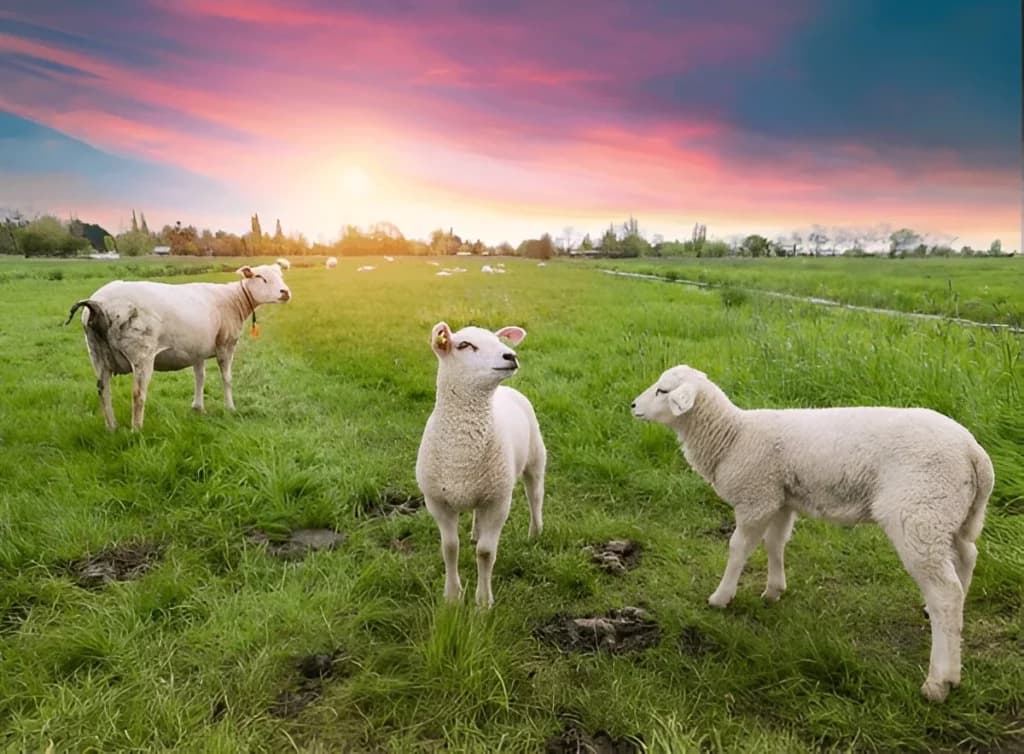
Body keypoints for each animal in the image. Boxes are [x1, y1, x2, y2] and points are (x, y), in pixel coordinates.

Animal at [65, 264, 292, 431]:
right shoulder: (226, 345)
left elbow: (200, 378)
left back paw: (111, 427)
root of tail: (98, 303)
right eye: (260, 277)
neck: (235, 300)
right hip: (141, 351)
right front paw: (230, 408)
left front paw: (198, 408)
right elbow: (226, 379)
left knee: (103, 389)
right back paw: (136, 430)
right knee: (137, 393)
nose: (285, 292)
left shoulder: (197, 350)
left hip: (96, 352)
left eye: (281, 275)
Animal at [416, 322, 547, 607]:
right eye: (464, 345)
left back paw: (535, 532)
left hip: (535, 457)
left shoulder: (498, 501)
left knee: (535, 496)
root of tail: (507, 391)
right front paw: (452, 596)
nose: (510, 355)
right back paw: (475, 532)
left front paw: (483, 602)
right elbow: (450, 548)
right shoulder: (438, 502)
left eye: (499, 341)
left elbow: (485, 553)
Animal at [631, 365, 994, 703]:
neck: (733, 436)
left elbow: (739, 548)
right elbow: (775, 543)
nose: (633, 405)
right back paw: (947, 621)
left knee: (945, 592)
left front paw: (721, 597)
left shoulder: (756, 497)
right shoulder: (779, 499)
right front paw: (774, 590)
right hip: (948, 516)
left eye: (663, 391)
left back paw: (940, 680)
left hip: (919, 512)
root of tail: (974, 454)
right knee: (966, 559)